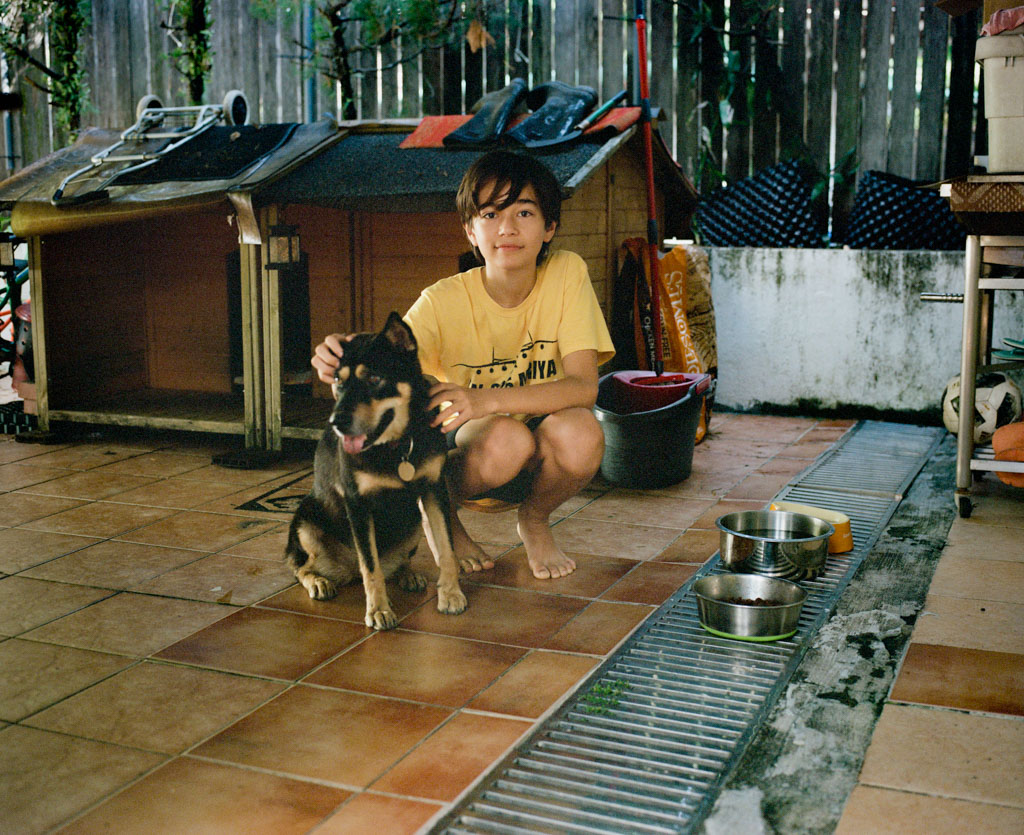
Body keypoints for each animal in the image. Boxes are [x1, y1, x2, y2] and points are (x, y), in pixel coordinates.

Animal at [284, 312, 467, 630]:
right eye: (338, 381)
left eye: (373, 378)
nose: (336, 422)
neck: (398, 445)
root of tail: (346, 570)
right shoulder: (358, 504)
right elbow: (371, 567)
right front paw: (379, 610)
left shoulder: (434, 490)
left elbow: (446, 548)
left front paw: (451, 594)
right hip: (305, 521)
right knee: (301, 566)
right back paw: (318, 581)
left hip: (413, 523)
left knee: (396, 562)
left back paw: (407, 574)